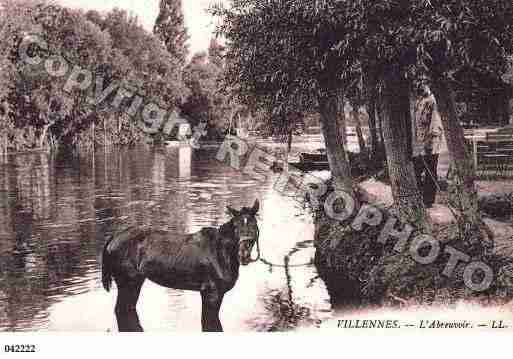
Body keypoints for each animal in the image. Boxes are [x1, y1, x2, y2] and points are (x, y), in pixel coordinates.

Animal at [101, 200, 260, 332]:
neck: (220, 251)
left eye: (253, 224)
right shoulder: (211, 295)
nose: (244, 254)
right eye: (236, 226)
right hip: (128, 283)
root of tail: (113, 238)